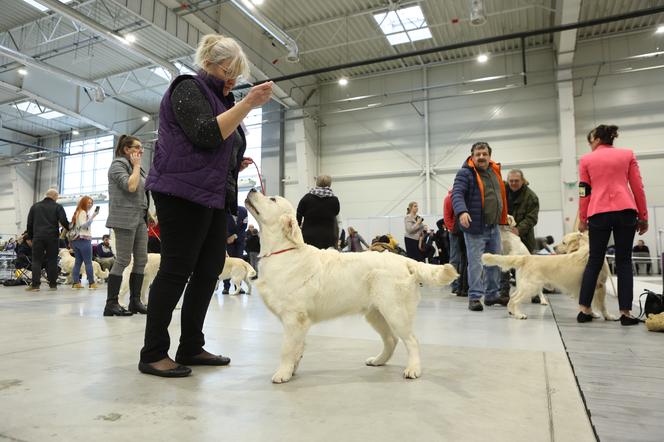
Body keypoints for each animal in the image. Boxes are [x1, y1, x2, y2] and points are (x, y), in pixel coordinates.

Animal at [246, 190, 460, 384]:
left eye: (272, 199)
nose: (252, 190)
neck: (281, 251)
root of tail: (405, 260)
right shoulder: (299, 321)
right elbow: (298, 348)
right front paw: (292, 369)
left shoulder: (294, 317)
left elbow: (287, 349)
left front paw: (282, 373)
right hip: (375, 314)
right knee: (391, 339)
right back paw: (378, 360)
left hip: (395, 311)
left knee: (412, 340)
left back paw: (413, 369)